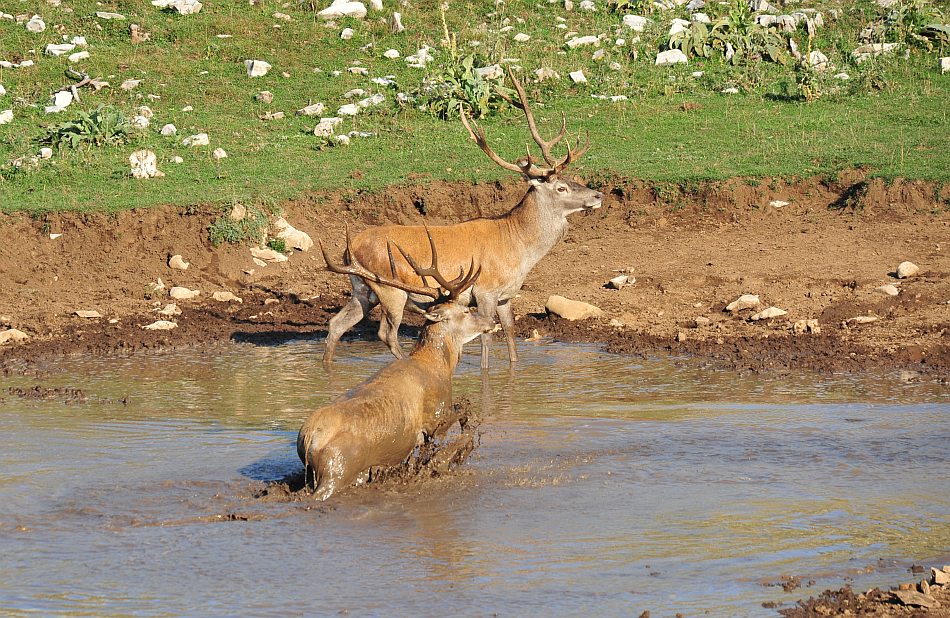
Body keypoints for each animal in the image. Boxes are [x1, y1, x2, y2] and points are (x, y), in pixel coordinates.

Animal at [300, 229, 498, 498]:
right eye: (466, 311)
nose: (491, 321)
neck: (437, 367)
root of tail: (309, 439)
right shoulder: (435, 416)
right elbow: (461, 414)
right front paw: (460, 448)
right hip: (338, 468)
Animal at [322, 68, 604, 366]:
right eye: (561, 187)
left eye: (571, 179)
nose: (598, 195)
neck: (520, 249)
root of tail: (350, 249)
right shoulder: (486, 290)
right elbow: (486, 337)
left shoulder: (506, 296)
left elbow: (510, 332)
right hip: (390, 289)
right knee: (386, 333)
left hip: (362, 289)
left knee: (337, 323)